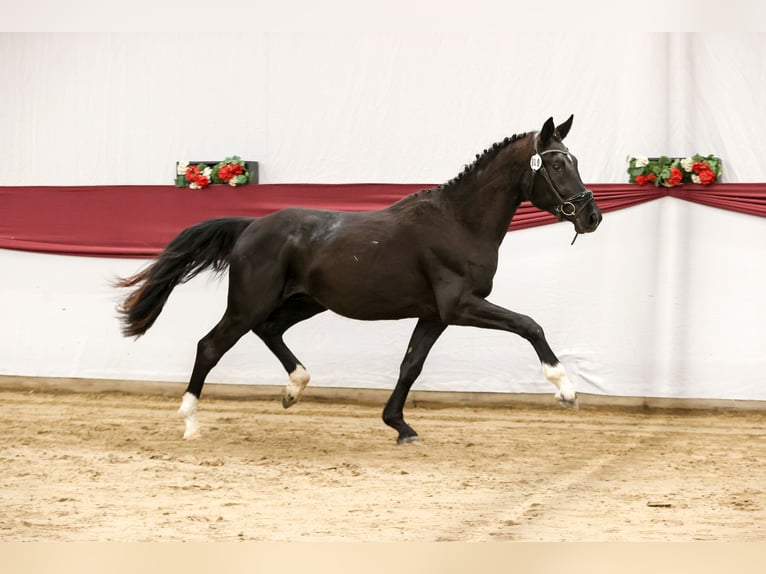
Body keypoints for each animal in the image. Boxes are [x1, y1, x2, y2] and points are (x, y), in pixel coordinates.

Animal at [116, 115, 602, 444]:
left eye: (575, 161)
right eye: (557, 166)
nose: (592, 216)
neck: (458, 222)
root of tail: (251, 226)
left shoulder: (435, 315)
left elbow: (411, 364)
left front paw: (400, 426)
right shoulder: (460, 305)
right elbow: (529, 324)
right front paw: (566, 390)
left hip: (305, 301)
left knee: (269, 329)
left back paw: (294, 389)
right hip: (249, 303)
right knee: (210, 346)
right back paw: (191, 423)